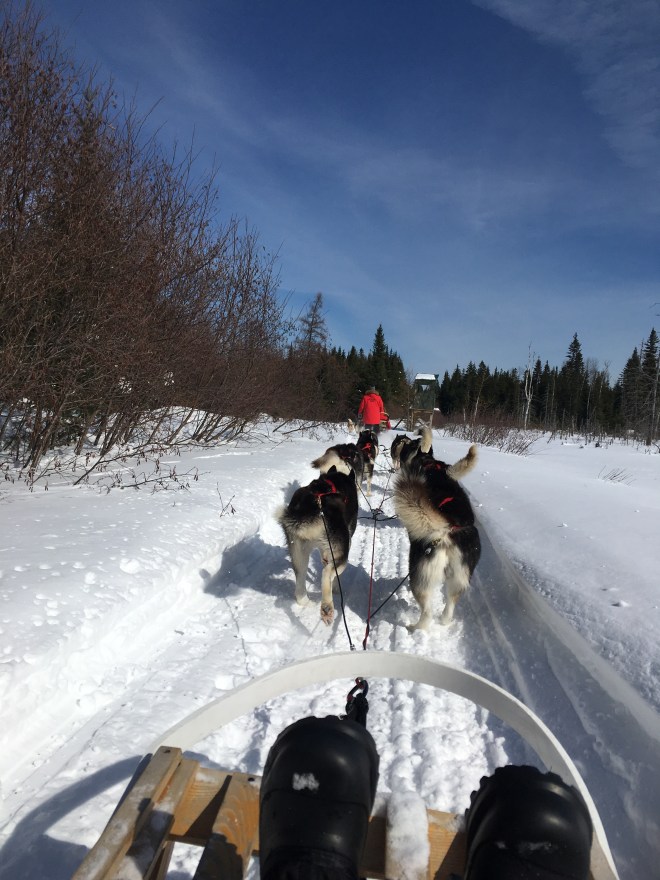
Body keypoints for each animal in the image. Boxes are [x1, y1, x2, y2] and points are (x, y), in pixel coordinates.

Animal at [277, 466, 358, 625]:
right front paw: (336, 588)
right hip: (341, 553)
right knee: (326, 574)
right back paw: (327, 608)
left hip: (299, 554)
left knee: (300, 584)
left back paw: (306, 601)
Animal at [394, 435, 480, 630]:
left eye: (407, 447)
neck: (428, 463)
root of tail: (447, 531)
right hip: (458, 580)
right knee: (448, 609)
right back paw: (444, 621)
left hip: (420, 578)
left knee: (426, 614)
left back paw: (413, 628)